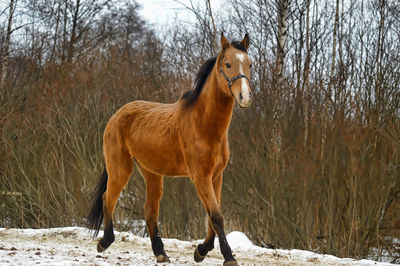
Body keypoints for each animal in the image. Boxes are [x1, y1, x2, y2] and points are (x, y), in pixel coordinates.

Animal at [86, 32, 252, 264]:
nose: (245, 96)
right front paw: (228, 257)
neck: (203, 125)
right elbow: (216, 216)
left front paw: (201, 250)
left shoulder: (216, 176)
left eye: (250, 64)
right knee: (108, 198)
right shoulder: (200, 177)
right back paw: (105, 242)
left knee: (149, 210)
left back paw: (161, 253)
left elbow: (212, 216)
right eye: (228, 64)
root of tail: (117, 114)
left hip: (151, 173)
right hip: (120, 168)